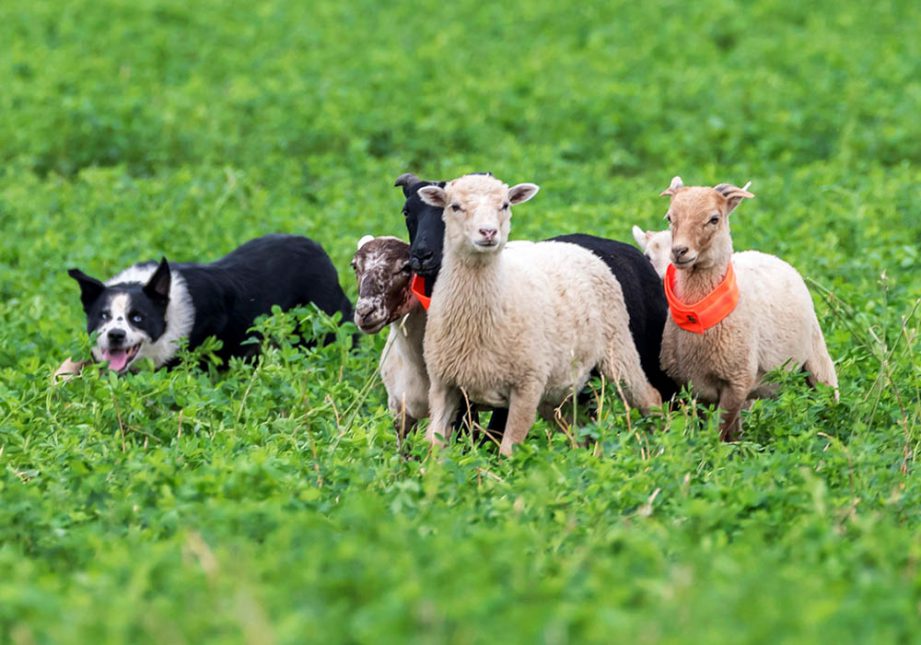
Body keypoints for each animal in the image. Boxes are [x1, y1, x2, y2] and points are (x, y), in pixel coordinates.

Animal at [416, 171, 660, 452]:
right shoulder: (442, 385)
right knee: (582, 430)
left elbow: (509, 450)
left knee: (649, 399)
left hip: (617, 348)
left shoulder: (527, 385)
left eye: (505, 205)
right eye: (454, 206)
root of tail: (579, 247)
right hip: (558, 392)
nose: (488, 232)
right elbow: (433, 443)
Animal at [656, 175, 840, 438]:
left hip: (816, 355)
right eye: (670, 218)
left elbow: (720, 432)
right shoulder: (694, 388)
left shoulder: (737, 382)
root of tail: (767, 254)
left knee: (829, 395)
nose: (679, 251)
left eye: (714, 219)